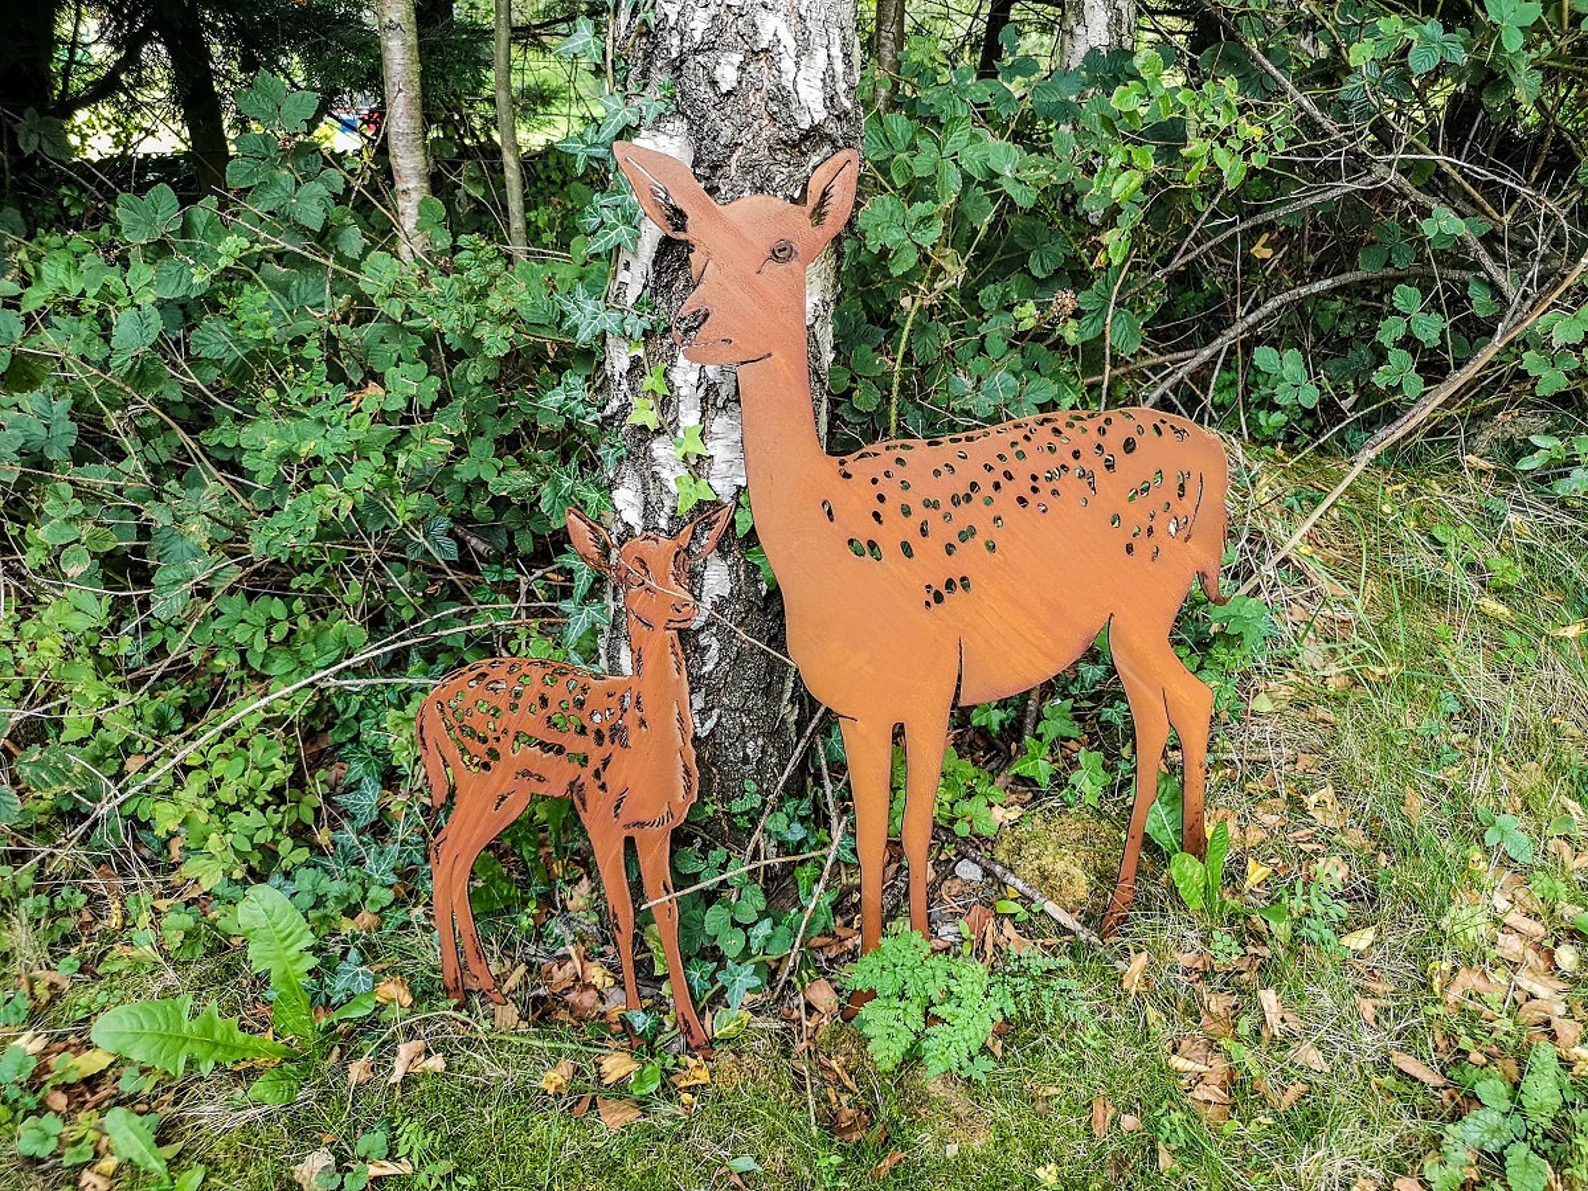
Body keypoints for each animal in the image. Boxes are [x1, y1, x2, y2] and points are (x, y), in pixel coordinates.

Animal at [417, 502, 735, 1051]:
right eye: (632, 573)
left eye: (681, 562)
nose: (685, 605)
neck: (645, 744)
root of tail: (429, 703)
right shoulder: (598, 812)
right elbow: (622, 915)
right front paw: (635, 1027)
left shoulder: (657, 827)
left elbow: (667, 913)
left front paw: (695, 1035)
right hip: (479, 778)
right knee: (443, 850)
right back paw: (460, 988)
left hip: (510, 795)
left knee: (455, 857)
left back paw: (483, 988)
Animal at [612, 140, 1231, 950]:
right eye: (696, 253)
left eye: (782, 248)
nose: (691, 322)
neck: (821, 533)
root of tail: (1212, 455)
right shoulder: (856, 707)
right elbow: (869, 836)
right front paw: (873, 961)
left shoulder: (937, 683)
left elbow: (914, 827)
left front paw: (924, 948)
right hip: (1128, 622)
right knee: (1160, 717)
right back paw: (1133, 896)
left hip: (1144, 602)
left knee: (1196, 699)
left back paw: (1192, 882)